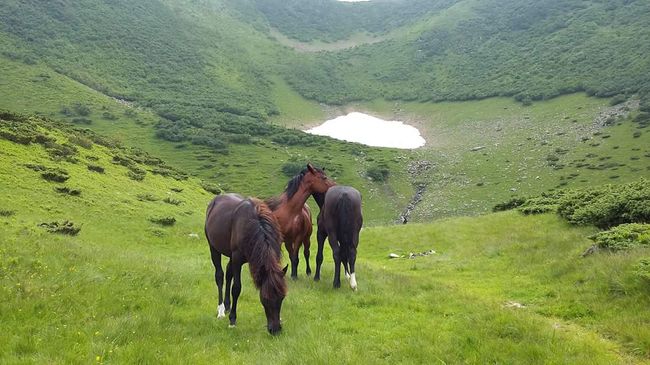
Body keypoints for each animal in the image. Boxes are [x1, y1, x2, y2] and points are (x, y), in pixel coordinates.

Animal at [204, 193, 288, 332]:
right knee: (220, 275)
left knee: (228, 274)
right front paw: (232, 320)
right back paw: (221, 310)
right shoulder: (237, 258)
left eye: (282, 297)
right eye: (265, 298)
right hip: (213, 248)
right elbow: (236, 288)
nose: (275, 329)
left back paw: (227, 305)